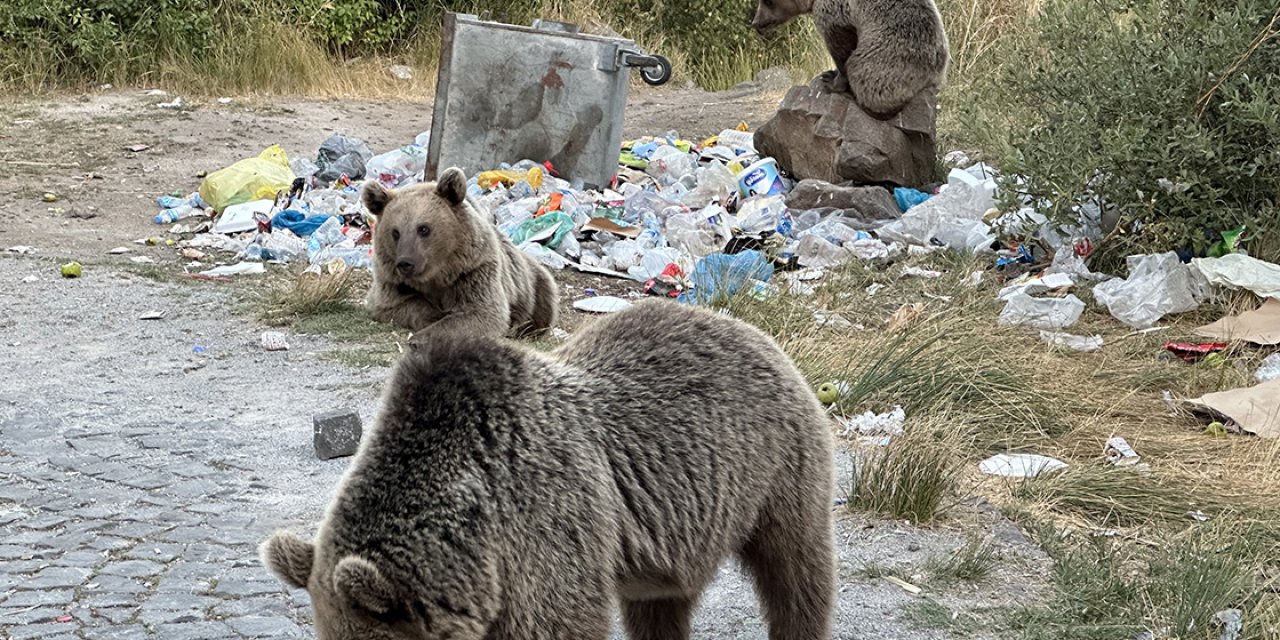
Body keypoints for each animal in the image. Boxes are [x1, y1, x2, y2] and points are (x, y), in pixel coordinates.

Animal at [261, 299, 839, 640]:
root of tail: (747, 327)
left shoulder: (544, 526)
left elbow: (558, 620)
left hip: (776, 469)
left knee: (795, 572)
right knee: (662, 603)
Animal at [363, 168, 558, 340]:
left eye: (423, 228)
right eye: (395, 232)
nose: (406, 263)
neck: (437, 274)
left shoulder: (473, 271)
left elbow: (483, 313)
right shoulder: (391, 281)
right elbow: (396, 304)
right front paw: (434, 315)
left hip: (532, 284)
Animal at [747, 0, 952, 117]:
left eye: (768, 1)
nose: (756, 23)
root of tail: (933, 76)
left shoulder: (834, 13)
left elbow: (841, 46)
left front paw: (831, 80)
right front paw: (830, 73)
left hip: (890, 57)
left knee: (862, 72)